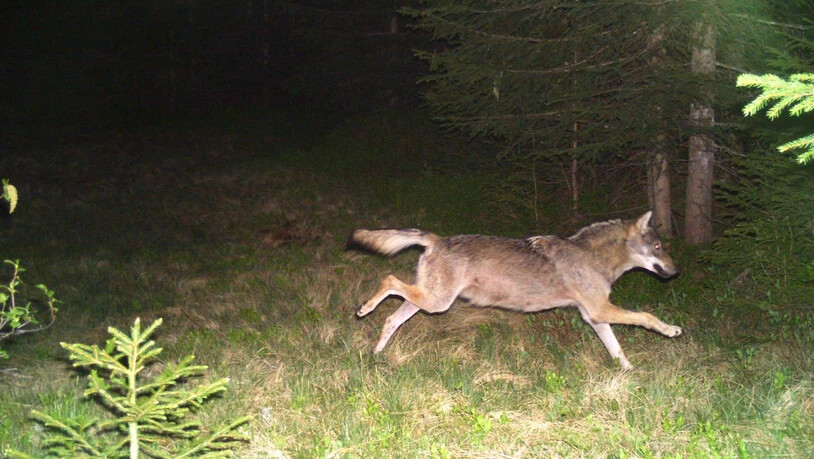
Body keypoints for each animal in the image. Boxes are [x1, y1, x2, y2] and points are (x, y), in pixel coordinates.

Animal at [349, 211, 681, 369]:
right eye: (658, 247)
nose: (677, 271)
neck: (592, 257)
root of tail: (438, 239)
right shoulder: (601, 310)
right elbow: (646, 316)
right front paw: (671, 330)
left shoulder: (595, 317)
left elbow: (617, 350)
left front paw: (630, 374)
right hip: (436, 303)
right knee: (388, 280)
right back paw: (364, 309)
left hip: (427, 302)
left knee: (390, 319)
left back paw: (375, 355)